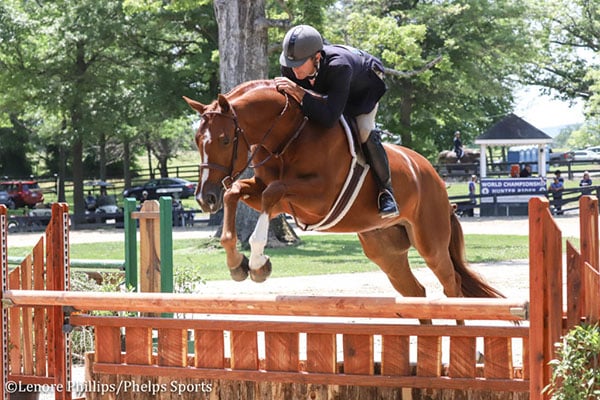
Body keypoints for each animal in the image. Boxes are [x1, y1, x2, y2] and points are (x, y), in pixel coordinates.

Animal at [183, 79, 502, 306]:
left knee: (452, 285)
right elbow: (236, 193)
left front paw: (259, 263)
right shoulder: (274, 196)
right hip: (385, 251)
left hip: (431, 243)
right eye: (197, 140)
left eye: (225, 140)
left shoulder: (318, 198)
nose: (204, 198)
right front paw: (237, 264)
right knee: (415, 291)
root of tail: (432, 176)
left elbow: (272, 193)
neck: (289, 136)